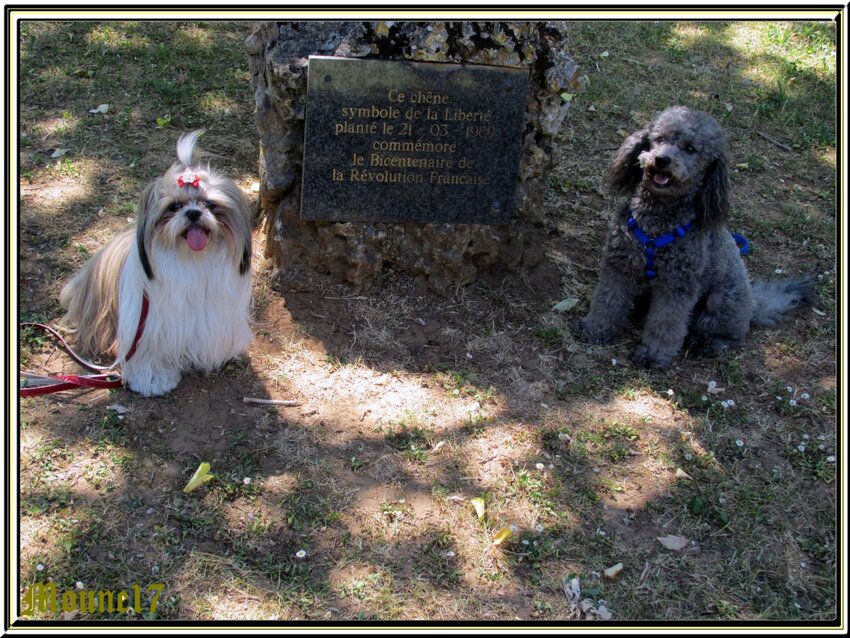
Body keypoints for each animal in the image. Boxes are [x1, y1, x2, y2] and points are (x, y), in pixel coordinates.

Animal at [59, 132, 253, 398]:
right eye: (174, 206)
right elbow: (149, 355)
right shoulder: (147, 326)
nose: (193, 213)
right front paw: (153, 379)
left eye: (210, 204)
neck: (192, 260)